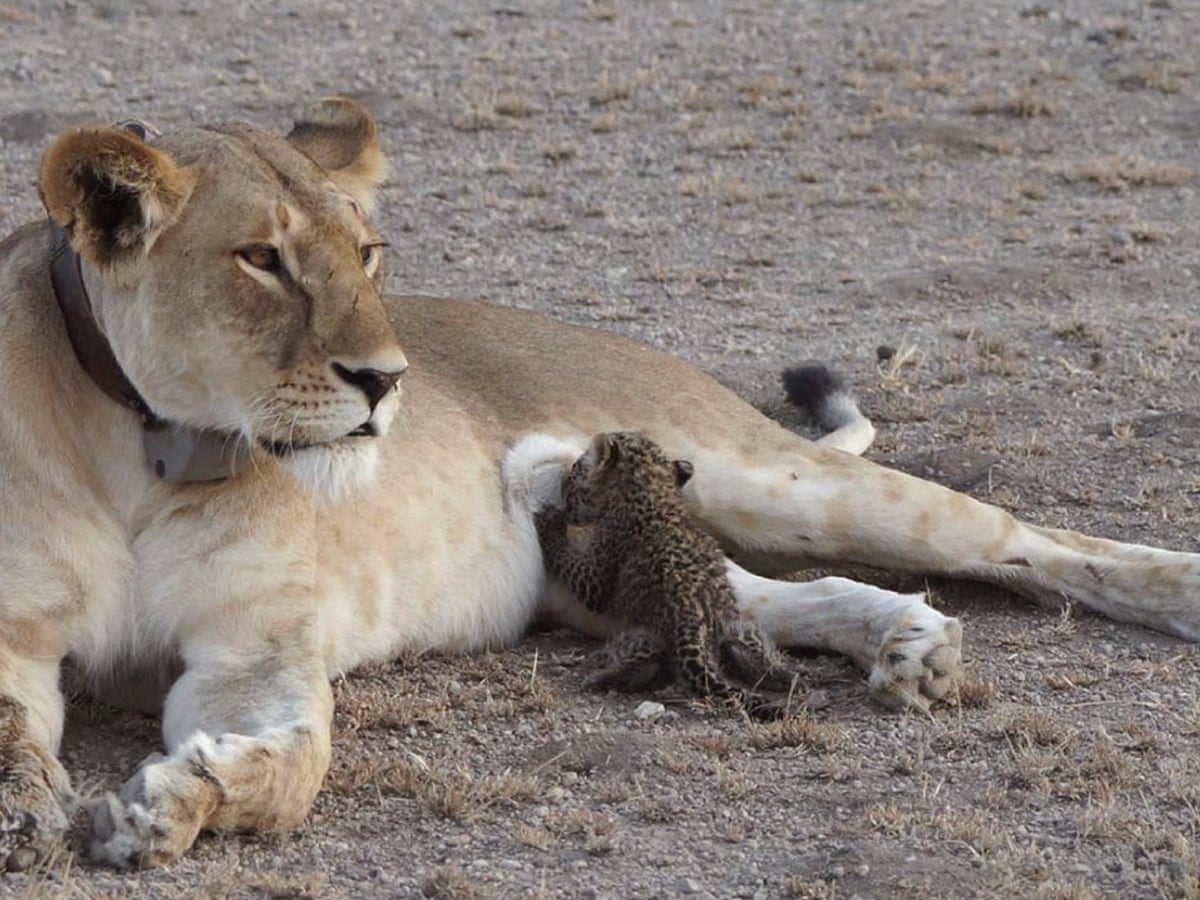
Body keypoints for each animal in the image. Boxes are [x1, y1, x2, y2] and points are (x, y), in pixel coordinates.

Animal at [535, 431, 802, 719]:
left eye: (575, 472)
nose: (564, 498)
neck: (653, 488)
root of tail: (693, 624)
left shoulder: (596, 577)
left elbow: (568, 560)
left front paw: (547, 522)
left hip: (641, 636)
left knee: (649, 660)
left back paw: (603, 676)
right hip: (737, 629)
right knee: (750, 653)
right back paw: (786, 678)